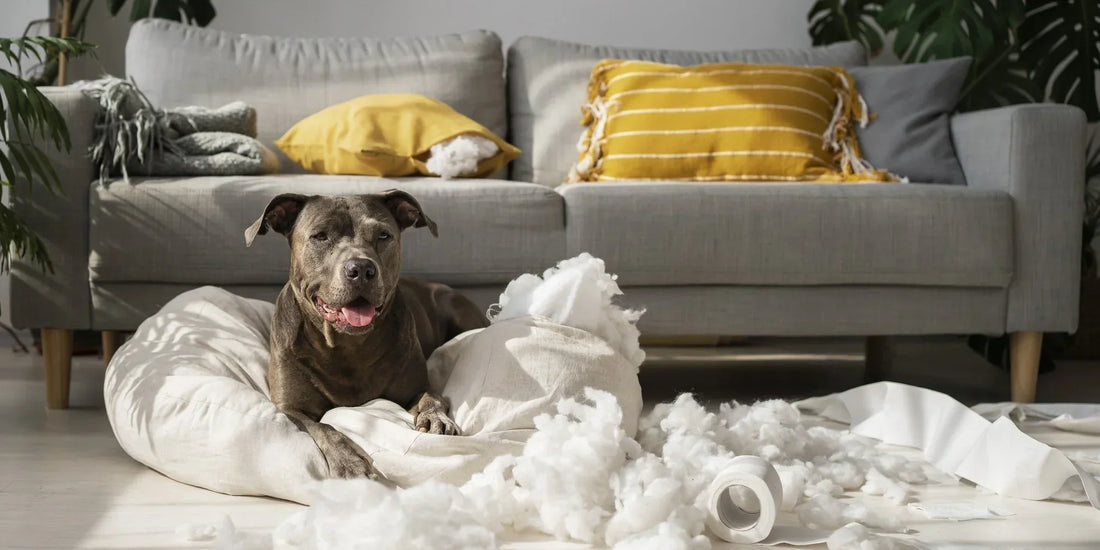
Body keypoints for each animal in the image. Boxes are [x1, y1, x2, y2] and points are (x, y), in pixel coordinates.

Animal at [249, 189, 490, 477]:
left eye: (383, 235)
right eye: (320, 236)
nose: (361, 269)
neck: (348, 345)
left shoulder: (417, 387)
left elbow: (431, 398)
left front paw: (435, 418)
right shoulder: (290, 408)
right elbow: (322, 427)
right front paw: (347, 460)